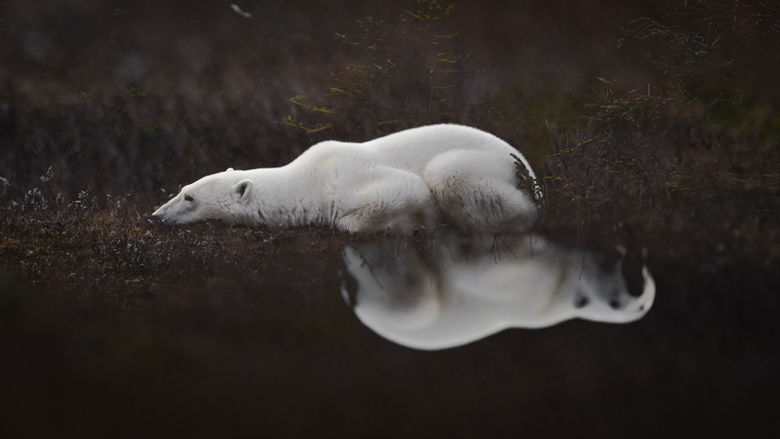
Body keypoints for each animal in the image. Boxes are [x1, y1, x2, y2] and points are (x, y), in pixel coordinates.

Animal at [152, 124, 542, 234]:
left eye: (189, 198)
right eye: (181, 189)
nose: (155, 215)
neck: (308, 178)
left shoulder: (349, 178)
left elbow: (406, 189)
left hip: (484, 166)